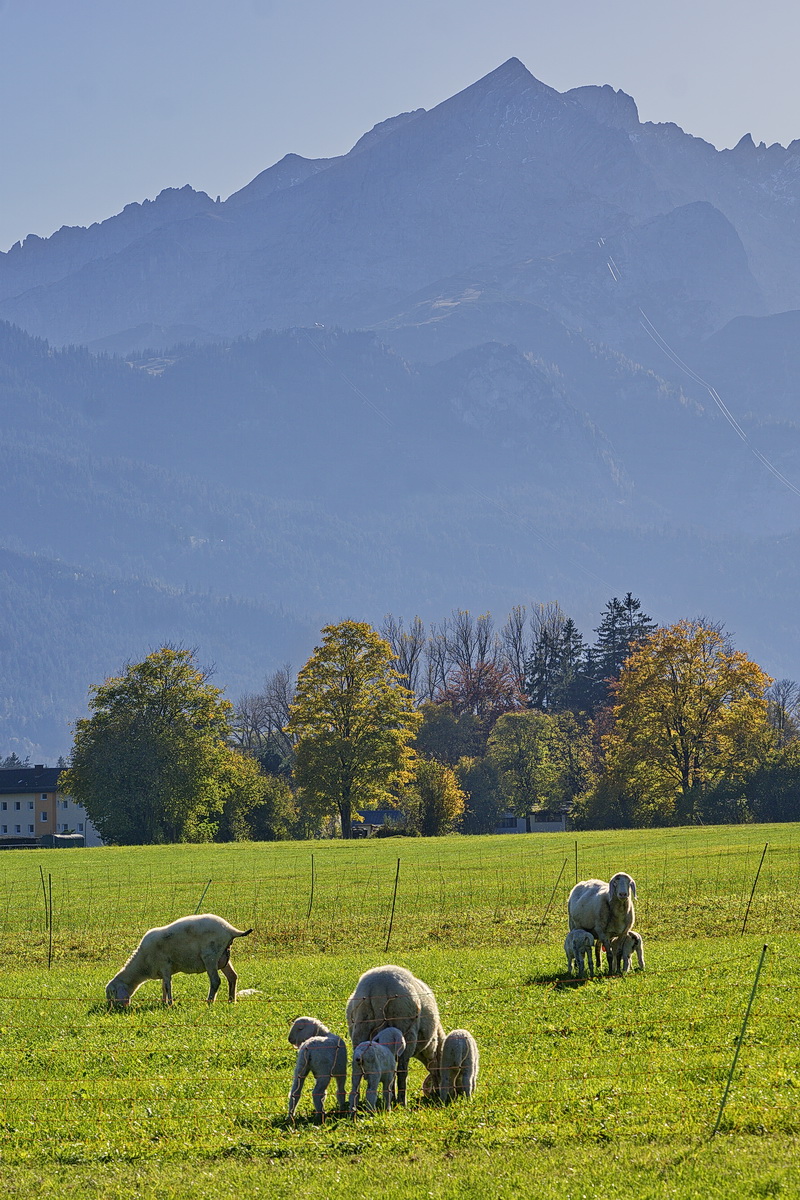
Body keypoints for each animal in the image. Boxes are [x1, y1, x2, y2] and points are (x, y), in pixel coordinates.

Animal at [104, 916, 251, 1003]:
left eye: (112, 993)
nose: (112, 1010)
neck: (142, 964)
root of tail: (230, 930)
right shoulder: (163, 971)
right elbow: (163, 986)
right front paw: (163, 1002)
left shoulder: (165, 966)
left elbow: (167, 986)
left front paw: (170, 1003)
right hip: (223, 958)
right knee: (232, 977)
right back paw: (231, 1001)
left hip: (210, 956)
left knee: (216, 981)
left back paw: (209, 1002)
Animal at [345, 964, 443, 1104]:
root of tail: (379, 988)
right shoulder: (431, 1048)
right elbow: (434, 1068)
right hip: (407, 1031)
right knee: (402, 1071)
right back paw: (402, 1101)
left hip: (360, 1030)